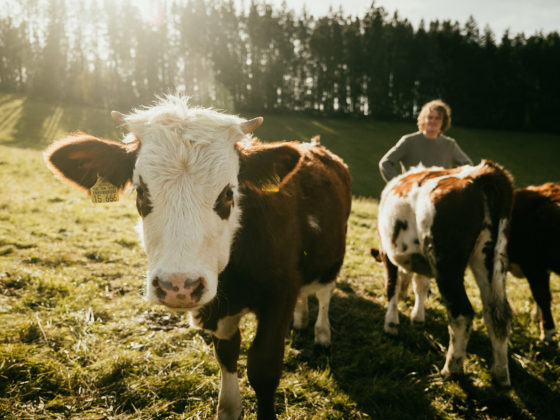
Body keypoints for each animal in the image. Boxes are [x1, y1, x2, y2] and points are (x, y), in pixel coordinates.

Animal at [44, 95, 350, 420]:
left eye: (229, 192)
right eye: (140, 191)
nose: (179, 286)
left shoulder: (279, 295)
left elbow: (264, 369)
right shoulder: (222, 308)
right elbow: (227, 356)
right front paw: (228, 408)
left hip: (333, 257)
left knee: (325, 294)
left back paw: (322, 333)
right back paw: (302, 319)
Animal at [378, 160, 516, 388]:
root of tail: (478, 173)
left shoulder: (386, 251)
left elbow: (392, 286)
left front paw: (391, 323)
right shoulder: (424, 260)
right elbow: (421, 285)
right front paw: (417, 317)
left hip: (446, 264)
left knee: (462, 312)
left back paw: (452, 369)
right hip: (490, 260)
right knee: (497, 313)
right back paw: (500, 375)